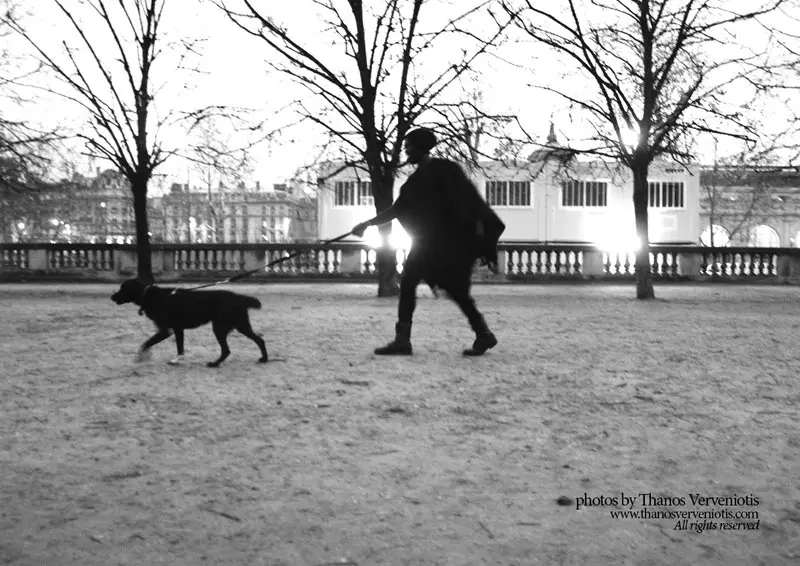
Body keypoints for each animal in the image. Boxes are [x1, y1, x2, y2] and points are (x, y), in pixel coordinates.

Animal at [111, 278, 270, 368]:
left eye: (123, 288)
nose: (112, 297)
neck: (148, 295)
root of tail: (237, 297)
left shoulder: (165, 330)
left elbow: (146, 343)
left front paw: (140, 357)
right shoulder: (177, 329)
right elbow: (180, 347)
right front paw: (177, 360)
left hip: (220, 328)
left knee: (227, 350)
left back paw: (214, 364)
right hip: (241, 325)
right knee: (259, 339)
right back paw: (264, 359)